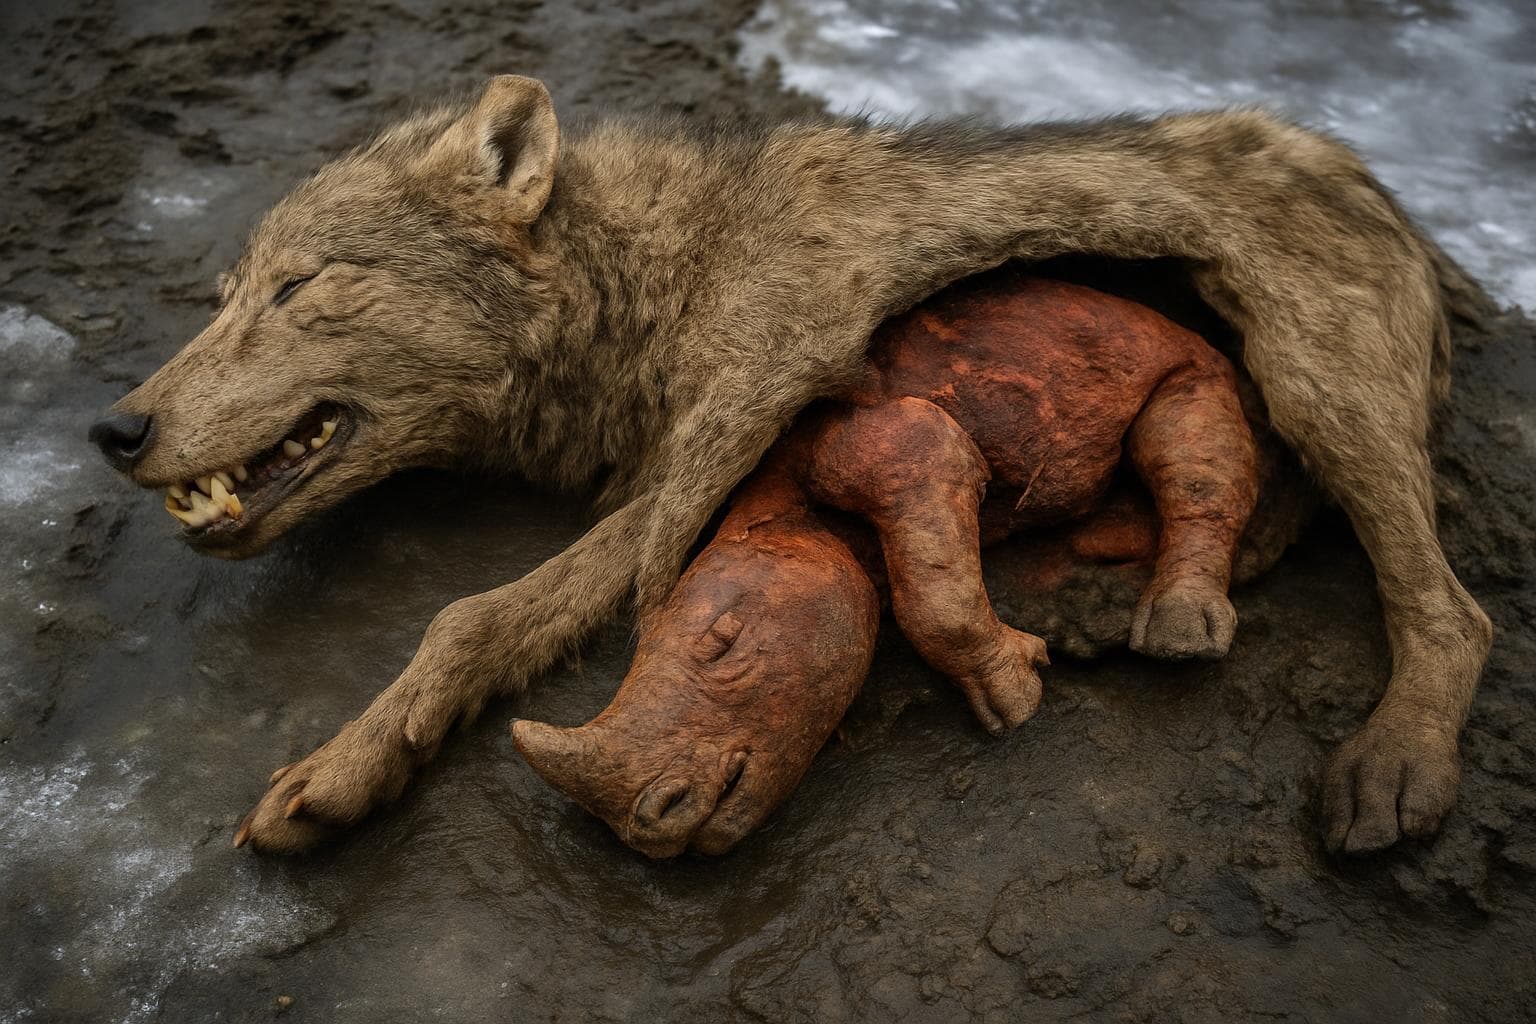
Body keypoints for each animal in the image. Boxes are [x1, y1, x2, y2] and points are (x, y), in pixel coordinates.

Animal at [88, 75, 1491, 856]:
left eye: (299, 286)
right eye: (222, 296)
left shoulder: (707, 449)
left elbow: (471, 615)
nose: (114, 430)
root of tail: (1384, 192)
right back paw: (1105, 599)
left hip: (1314, 382)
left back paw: (1392, 766)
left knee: (1452, 608)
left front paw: (340, 768)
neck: (662, 278)